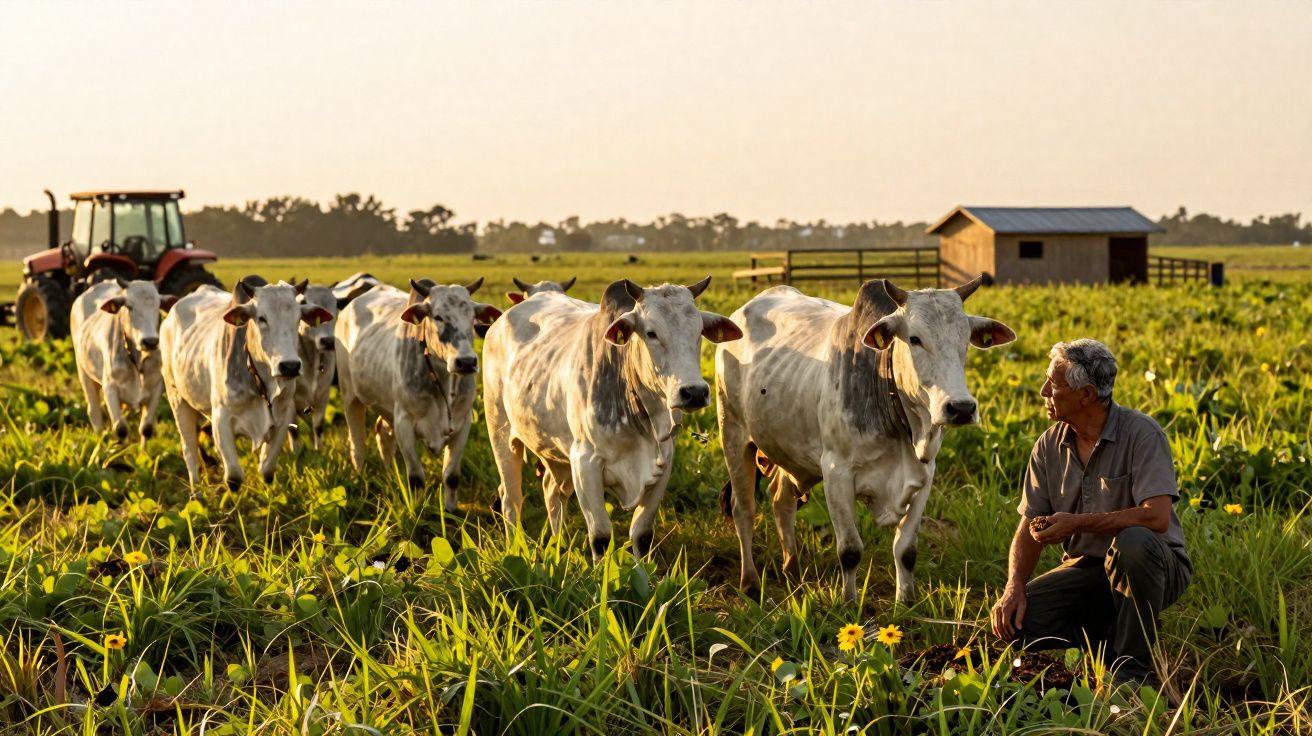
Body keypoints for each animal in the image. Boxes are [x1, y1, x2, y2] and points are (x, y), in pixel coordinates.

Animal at [70, 279, 176, 445]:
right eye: (129, 306)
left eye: (158, 306)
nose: (150, 341)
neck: (137, 360)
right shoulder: (110, 387)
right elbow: (120, 428)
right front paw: (122, 451)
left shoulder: (156, 388)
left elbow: (146, 428)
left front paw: (142, 451)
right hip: (84, 373)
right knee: (95, 413)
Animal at [160, 277, 333, 490]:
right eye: (261, 318)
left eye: (297, 318)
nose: (290, 366)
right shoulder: (221, 419)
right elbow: (234, 478)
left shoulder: (282, 419)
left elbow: (266, 471)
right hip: (176, 397)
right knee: (189, 450)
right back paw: (196, 489)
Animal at [334, 277, 501, 509]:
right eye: (438, 316)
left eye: (472, 316)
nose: (466, 362)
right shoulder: (404, 422)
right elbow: (415, 477)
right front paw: (417, 507)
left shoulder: (462, 423)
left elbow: (451, 475)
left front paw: (450, 510)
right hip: (350, 396)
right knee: (357, 444)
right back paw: (359, 474)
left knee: (382, 433)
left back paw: (390, 475)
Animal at [482, 277, 742, 561]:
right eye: (651, 332)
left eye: (698, 332)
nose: (694, 392)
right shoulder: (585, 462)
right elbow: (601, 536)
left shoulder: (664, 463)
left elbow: (642, 534)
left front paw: (643, 571)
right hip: (501, 433)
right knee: (511, 498)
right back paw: (514, 548)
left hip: (553, 448)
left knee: (552, 491)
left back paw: (560, 547)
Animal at [715, 276, 1016, 602]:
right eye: (914, 339)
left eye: (965, 339)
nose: (960, 408)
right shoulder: (837, 474)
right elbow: (850, 550)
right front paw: (849, 603)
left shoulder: (925, 476)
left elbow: (906, 550)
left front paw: (905, 602)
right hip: (733, 433)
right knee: (743, 508)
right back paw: (750, 582)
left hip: (789, 448)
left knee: (781, 499)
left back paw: (792, 571)